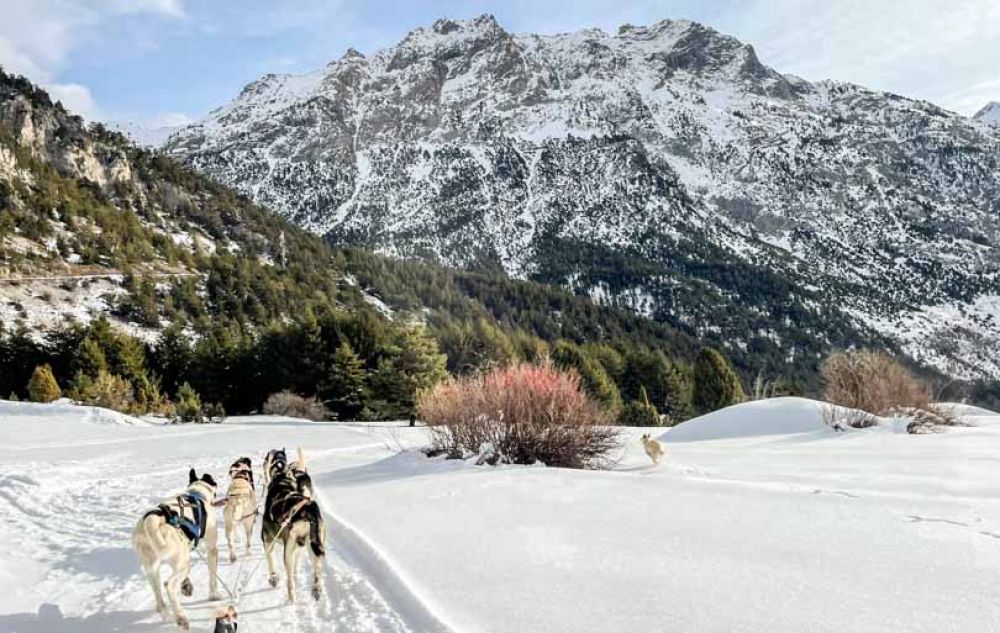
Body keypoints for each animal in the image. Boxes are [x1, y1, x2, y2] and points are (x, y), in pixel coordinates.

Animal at [133, 466, 221, 628]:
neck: (197, 494)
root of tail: (154, 519)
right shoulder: (212, 548)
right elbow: (213, 577)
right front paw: (214, 595)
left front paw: (186, 586)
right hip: (180, 563)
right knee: (169, 584)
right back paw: (180, 617)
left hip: (152, 568)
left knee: (159, 598)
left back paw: (167, 614)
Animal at [262, 456, 324, 600]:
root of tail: (306, 509)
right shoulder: (297, 547)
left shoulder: (267, 540)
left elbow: (270, 559)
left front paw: (273, 578)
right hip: (313, 545)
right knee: (317, 567)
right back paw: (317, 588)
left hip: (288, 552)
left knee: (289, 580)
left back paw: (291, 597)